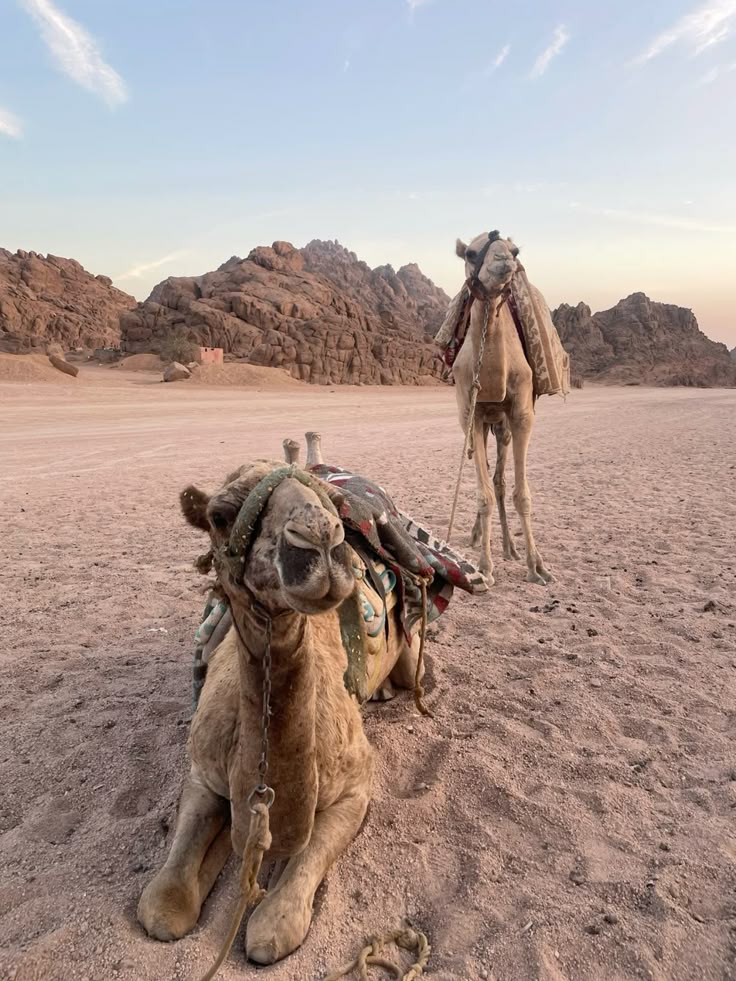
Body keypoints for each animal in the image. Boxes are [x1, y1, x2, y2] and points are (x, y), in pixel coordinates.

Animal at [137, 453, 423, 966]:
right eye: (219, 516)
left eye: (326, 500)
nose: (320, 538)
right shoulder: (203, 773)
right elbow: (163, 904)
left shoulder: (356, 788)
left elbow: (282, 913)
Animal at [450, 231, 553, 586]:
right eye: (470, 253)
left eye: (515, 249)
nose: (503, 259)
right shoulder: (470, 414)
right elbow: (483, 497)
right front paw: (484, 567)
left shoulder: (521, 414)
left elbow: (521, 495)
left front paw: (537, 567)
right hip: (485, 424)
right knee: (490, 485)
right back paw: (478, 538)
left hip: (503, 427)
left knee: (500, 482)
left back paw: (511, 547)